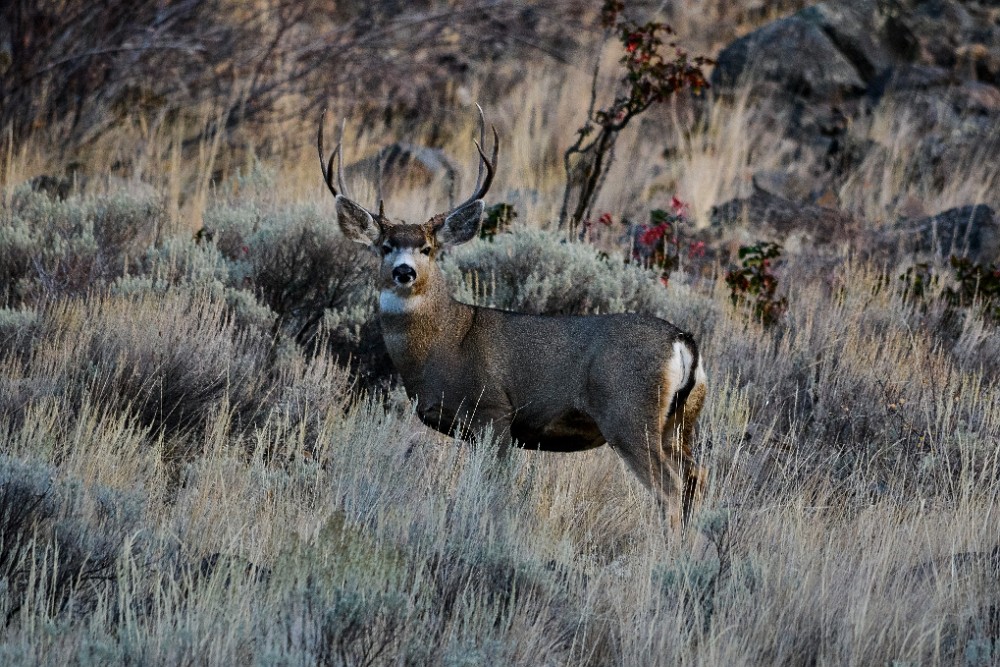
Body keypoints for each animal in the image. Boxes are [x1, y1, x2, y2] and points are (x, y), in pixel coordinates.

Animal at [316, 115, 708, 528]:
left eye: (428, 248)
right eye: (385, 247)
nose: (404, 272)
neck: (445, 343)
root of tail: (682, 341)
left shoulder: (494, 412)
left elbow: (495, 486)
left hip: (629, 414)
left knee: (668, 487)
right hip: (680, 423)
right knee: (694, 476)